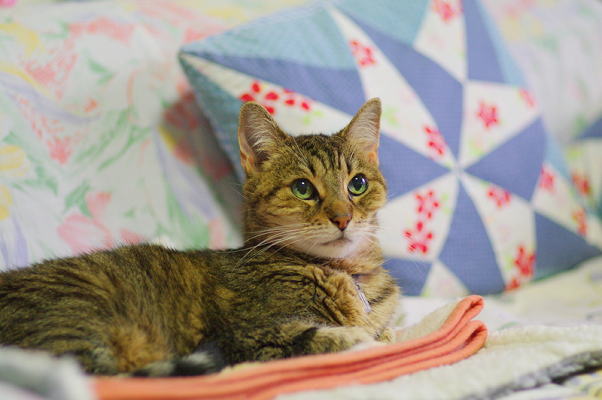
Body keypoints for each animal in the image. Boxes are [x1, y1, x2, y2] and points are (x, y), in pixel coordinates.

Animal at [0, 98, 400, 376]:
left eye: (357, 184)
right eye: (303, 188)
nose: (343, 217)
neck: (346, 273)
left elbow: (387, 333)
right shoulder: (252, 336)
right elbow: (330, 338)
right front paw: (361, 341)